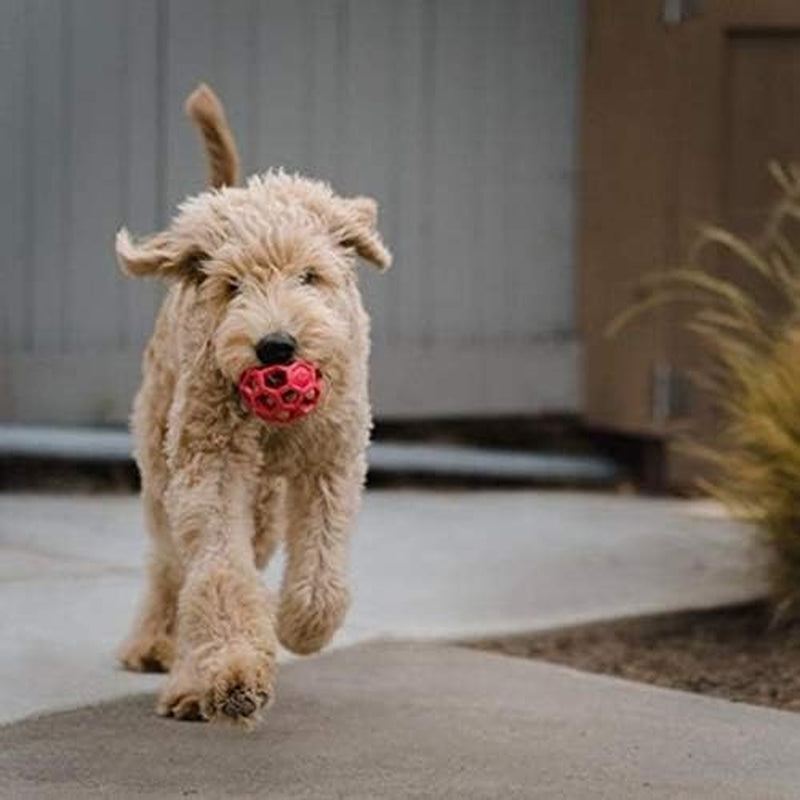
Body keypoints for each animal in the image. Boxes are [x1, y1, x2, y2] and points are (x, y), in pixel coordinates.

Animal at [117, 84, 392, 720]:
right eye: (232, 286)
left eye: (309, 276)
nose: (275, 346)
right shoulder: (211, 467)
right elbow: (218, 573)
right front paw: (234, 672)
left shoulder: (332, 458)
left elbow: (321, 561)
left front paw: (301, 627)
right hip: (163, 461)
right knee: (172, 566)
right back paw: (167, 658)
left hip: (265, 502)